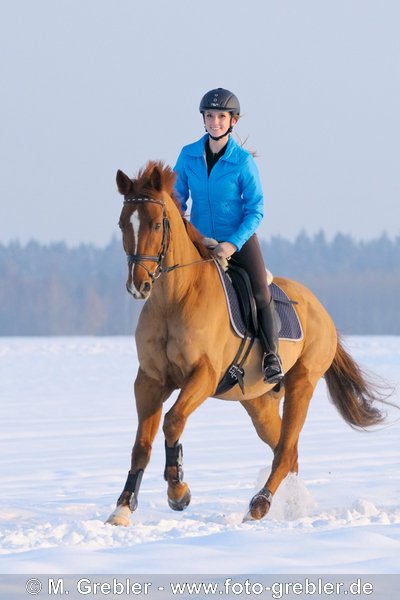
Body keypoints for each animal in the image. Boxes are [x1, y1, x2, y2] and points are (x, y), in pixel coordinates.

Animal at [106, 162, 384, 528]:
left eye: (154, 223)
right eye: (123, 223)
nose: (138, 285)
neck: (175, 299)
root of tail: (321, 310)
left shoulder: (204, 376)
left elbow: (173, 421)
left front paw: (178, 491)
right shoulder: (150, 381)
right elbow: (141, 444)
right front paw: (122, 508)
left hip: (302, 384)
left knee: (285, 451)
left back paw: (259, 506)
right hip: (259, 402)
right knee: (287, 449)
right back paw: (289, 507)